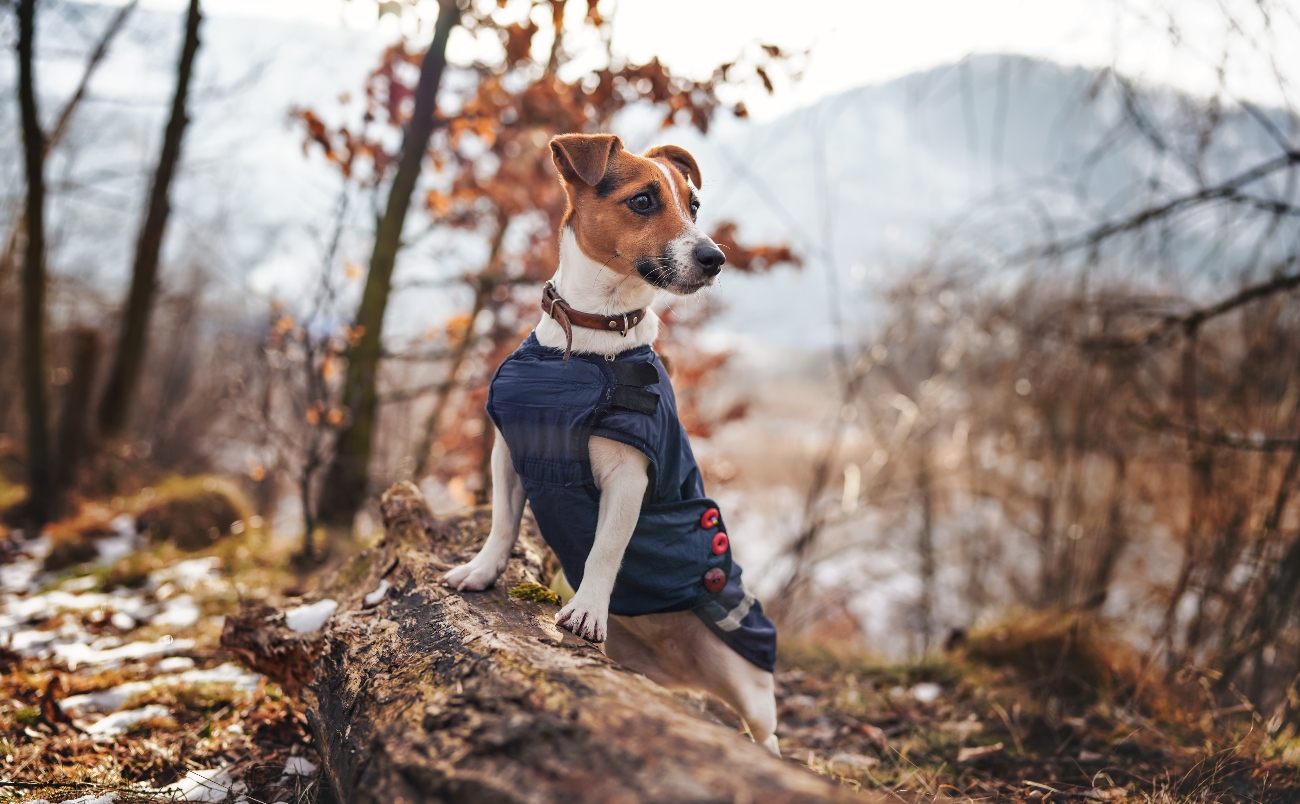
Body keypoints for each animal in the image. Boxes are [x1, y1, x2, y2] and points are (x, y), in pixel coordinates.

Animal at [441, 131, 774, 749]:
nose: (714, 258)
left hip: (745, 676)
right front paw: (482, 569)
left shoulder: (628, 478)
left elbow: (605, 549)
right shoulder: (509, 453)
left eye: (694, 206)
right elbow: (502, 523)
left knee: (764, 732)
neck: (590, 335)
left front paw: (589, 609)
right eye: (643, 201)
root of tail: (680, 665)